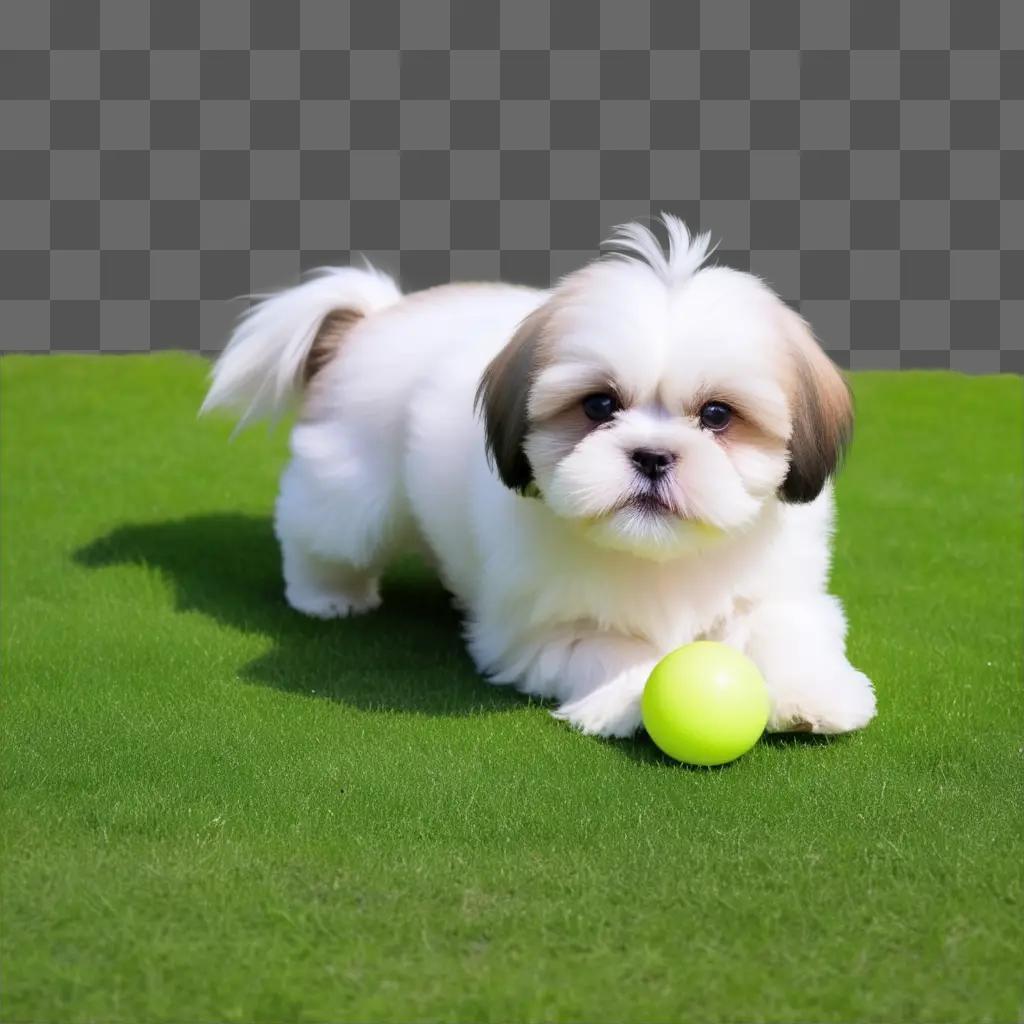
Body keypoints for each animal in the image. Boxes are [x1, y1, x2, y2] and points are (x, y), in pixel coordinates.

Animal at [203, 216, 876, 741]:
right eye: (599, 405)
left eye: (717, 415)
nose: (653, 455)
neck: (659, 557)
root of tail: (377, 316)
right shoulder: (543, 631)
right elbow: (610, 649)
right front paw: (632, 694)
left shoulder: (779, 589)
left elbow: (785, 628)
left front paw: (814, 696)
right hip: (350, 491)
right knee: (318, 534)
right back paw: (327, 596)